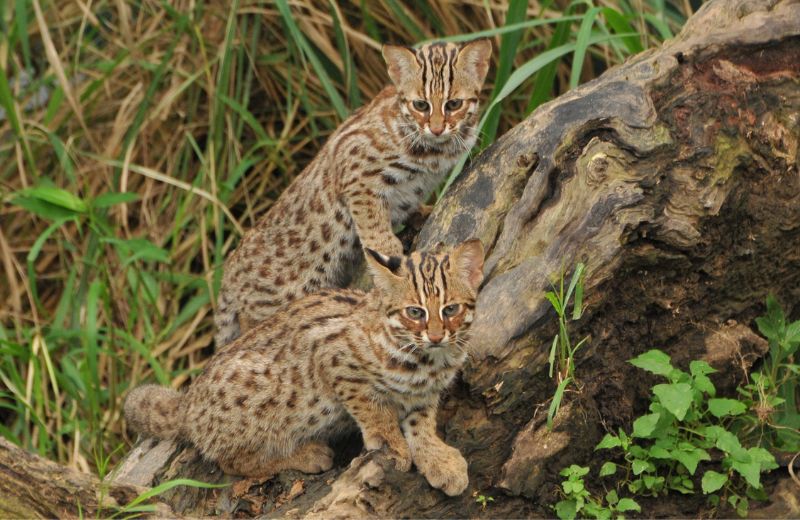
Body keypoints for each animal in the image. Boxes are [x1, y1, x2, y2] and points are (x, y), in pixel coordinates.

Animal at [125, 240, 484, 496]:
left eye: (450, 309)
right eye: (415, 312)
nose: (436, 336)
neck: (430, 358)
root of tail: (187, 402)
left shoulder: (424, 394)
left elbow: (421, 423)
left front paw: (437, 458)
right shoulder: (331, 357)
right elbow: (374, 411)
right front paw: (393, 445)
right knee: (230, 460)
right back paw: (305, 455)